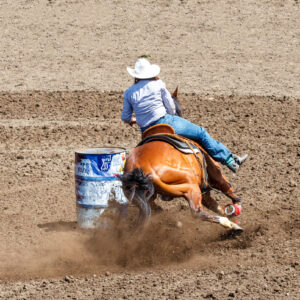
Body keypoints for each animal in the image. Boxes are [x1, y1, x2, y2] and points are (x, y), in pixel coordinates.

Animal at [120, 89, 243, 232]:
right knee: (197, 212)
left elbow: (216, 206)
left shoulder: (204, 190)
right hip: (190, 186)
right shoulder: (214, 173)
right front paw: (236, 204)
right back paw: (230, 224)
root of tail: (141, 166)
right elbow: (225, 186)